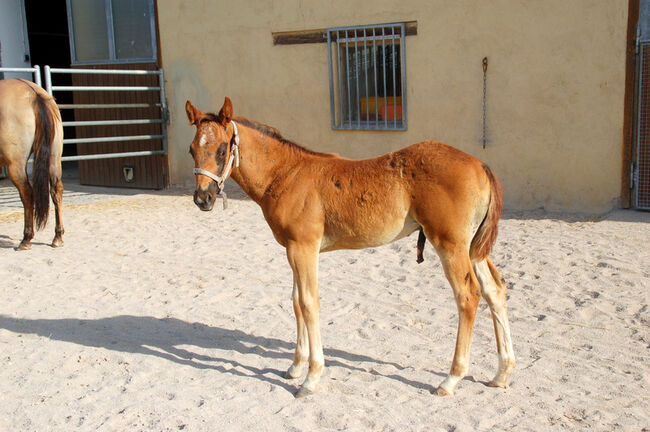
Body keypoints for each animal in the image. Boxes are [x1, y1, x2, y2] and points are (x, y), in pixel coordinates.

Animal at [0, 78, 63, 250]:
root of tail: (34, 94)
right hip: (54, 158)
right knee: (56, 190)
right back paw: (58, 237)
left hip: (15, 165)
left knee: (27, 193)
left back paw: (26, 239)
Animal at [185, 98, 512, 398]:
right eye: (191, 149)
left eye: (222, 149)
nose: (203, 198)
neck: (286, 174)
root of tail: (480, 164)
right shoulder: (292, 249)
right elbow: (295, 302)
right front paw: (295, 367)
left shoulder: (303, 248)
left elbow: (309, 303)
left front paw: (311, 377)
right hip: (473, 248)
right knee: (495, 290)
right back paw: (502, 373)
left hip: (450, 244)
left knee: (468, 296)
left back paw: (451, 378)